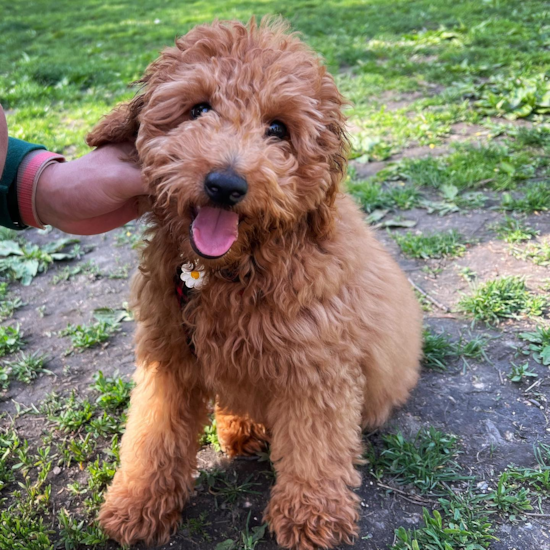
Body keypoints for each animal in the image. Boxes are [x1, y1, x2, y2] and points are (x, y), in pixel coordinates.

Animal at [87, 17, 422, 550]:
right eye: (199, 108)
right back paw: (239, 427)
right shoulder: (168, 354)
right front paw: (138, 504)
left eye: (278, 129)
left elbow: (316, 446)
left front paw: (311, 517)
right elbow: (152, 434)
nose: (225, 185)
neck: (227, 272)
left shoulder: (316, 368)